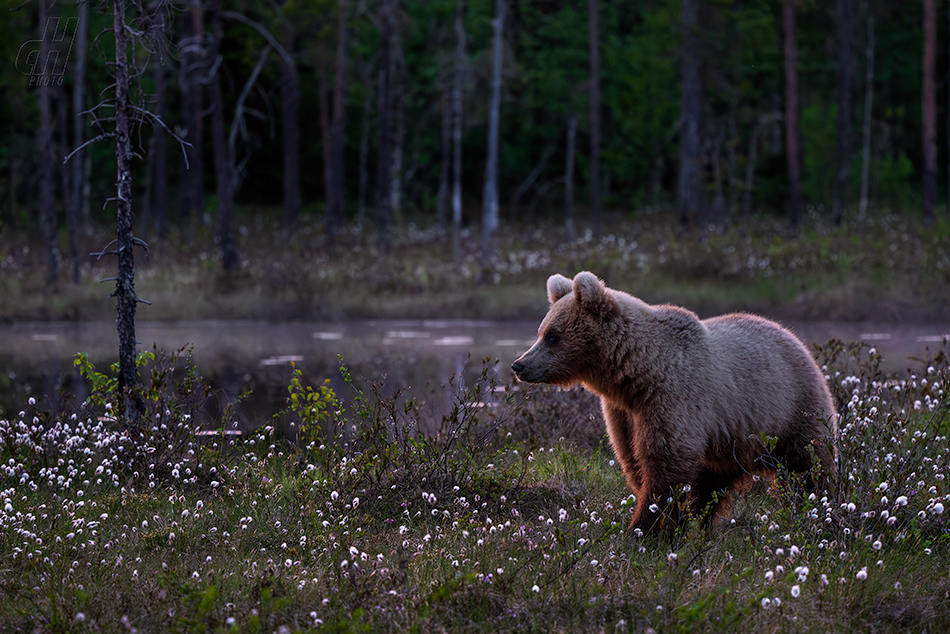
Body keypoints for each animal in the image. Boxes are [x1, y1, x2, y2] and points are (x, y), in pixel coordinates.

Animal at [512, 270, 840, 532]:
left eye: (552, 335)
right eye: (541, 332)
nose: (519, 365)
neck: (636, 373)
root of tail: (796, 339)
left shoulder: (673, 396)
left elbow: (665, 464)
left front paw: (643, 531)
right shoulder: (625, 413)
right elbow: (635, 461)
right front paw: (669, 526)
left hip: (793, 409)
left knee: (809, 468)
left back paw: (824, 512)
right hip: (730, 441)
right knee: (712, 482)